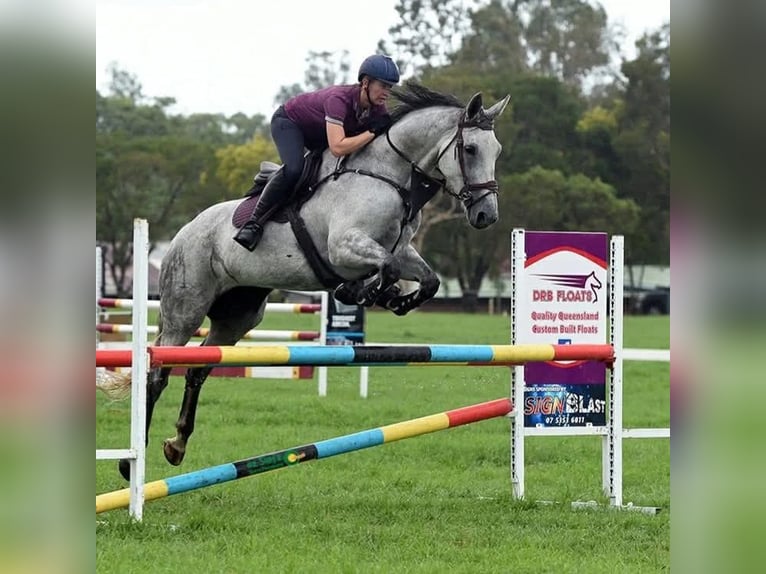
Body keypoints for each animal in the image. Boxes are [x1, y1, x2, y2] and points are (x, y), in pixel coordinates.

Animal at [116, 83, 510, 480]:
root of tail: (183, 233)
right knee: (157, 371)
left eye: (497, 151)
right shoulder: (343, 247)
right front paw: (362, 291)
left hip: (238, 316)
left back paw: (177, 445)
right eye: (470, 149)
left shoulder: (401, 252)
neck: (388, 176)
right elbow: (384, 269)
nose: (486, 215)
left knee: (199, 369)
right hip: (186, 309)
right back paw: (129, 464)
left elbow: (428, 281)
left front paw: (395, 300)